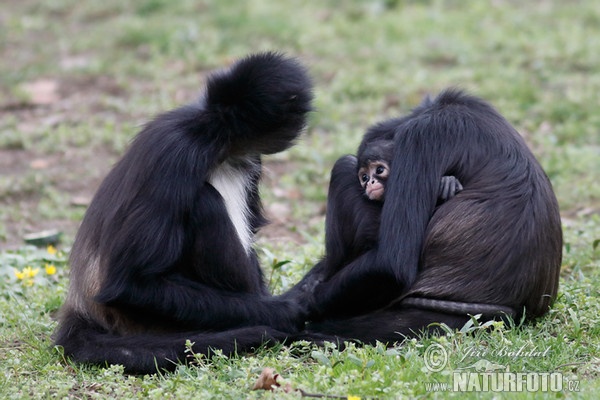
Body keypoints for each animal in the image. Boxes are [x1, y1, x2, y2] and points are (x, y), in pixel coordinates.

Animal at [53, 51, 314, 374]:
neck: (213, 136)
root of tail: (82, 304)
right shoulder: (179, 152)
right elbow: (131, 285)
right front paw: (286, 310)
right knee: (205, 200)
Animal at [286, 89, 564, 342]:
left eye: (379, 170)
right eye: (364, 177)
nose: (369, 183)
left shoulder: (422, 134)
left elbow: (389, 267)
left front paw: (299, 305)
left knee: (343, 167)